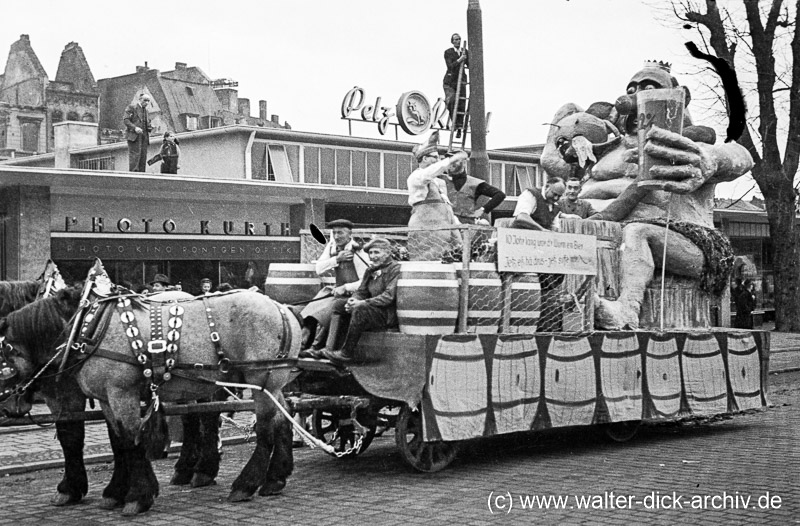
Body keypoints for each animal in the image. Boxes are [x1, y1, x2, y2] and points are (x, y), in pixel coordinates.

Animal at [0, 286, 300, 516]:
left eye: (5, 352)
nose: (7, 407)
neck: (87, 328)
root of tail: (282, 308)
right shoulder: (106, 398)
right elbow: (118, 442)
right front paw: (114, 492)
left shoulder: (118, 393)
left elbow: (130, 441)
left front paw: (137, 496)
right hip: (271, 384)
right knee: (283, 420)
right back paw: (274, 479)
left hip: (262, 379)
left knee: (264, 430)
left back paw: (245, 484)